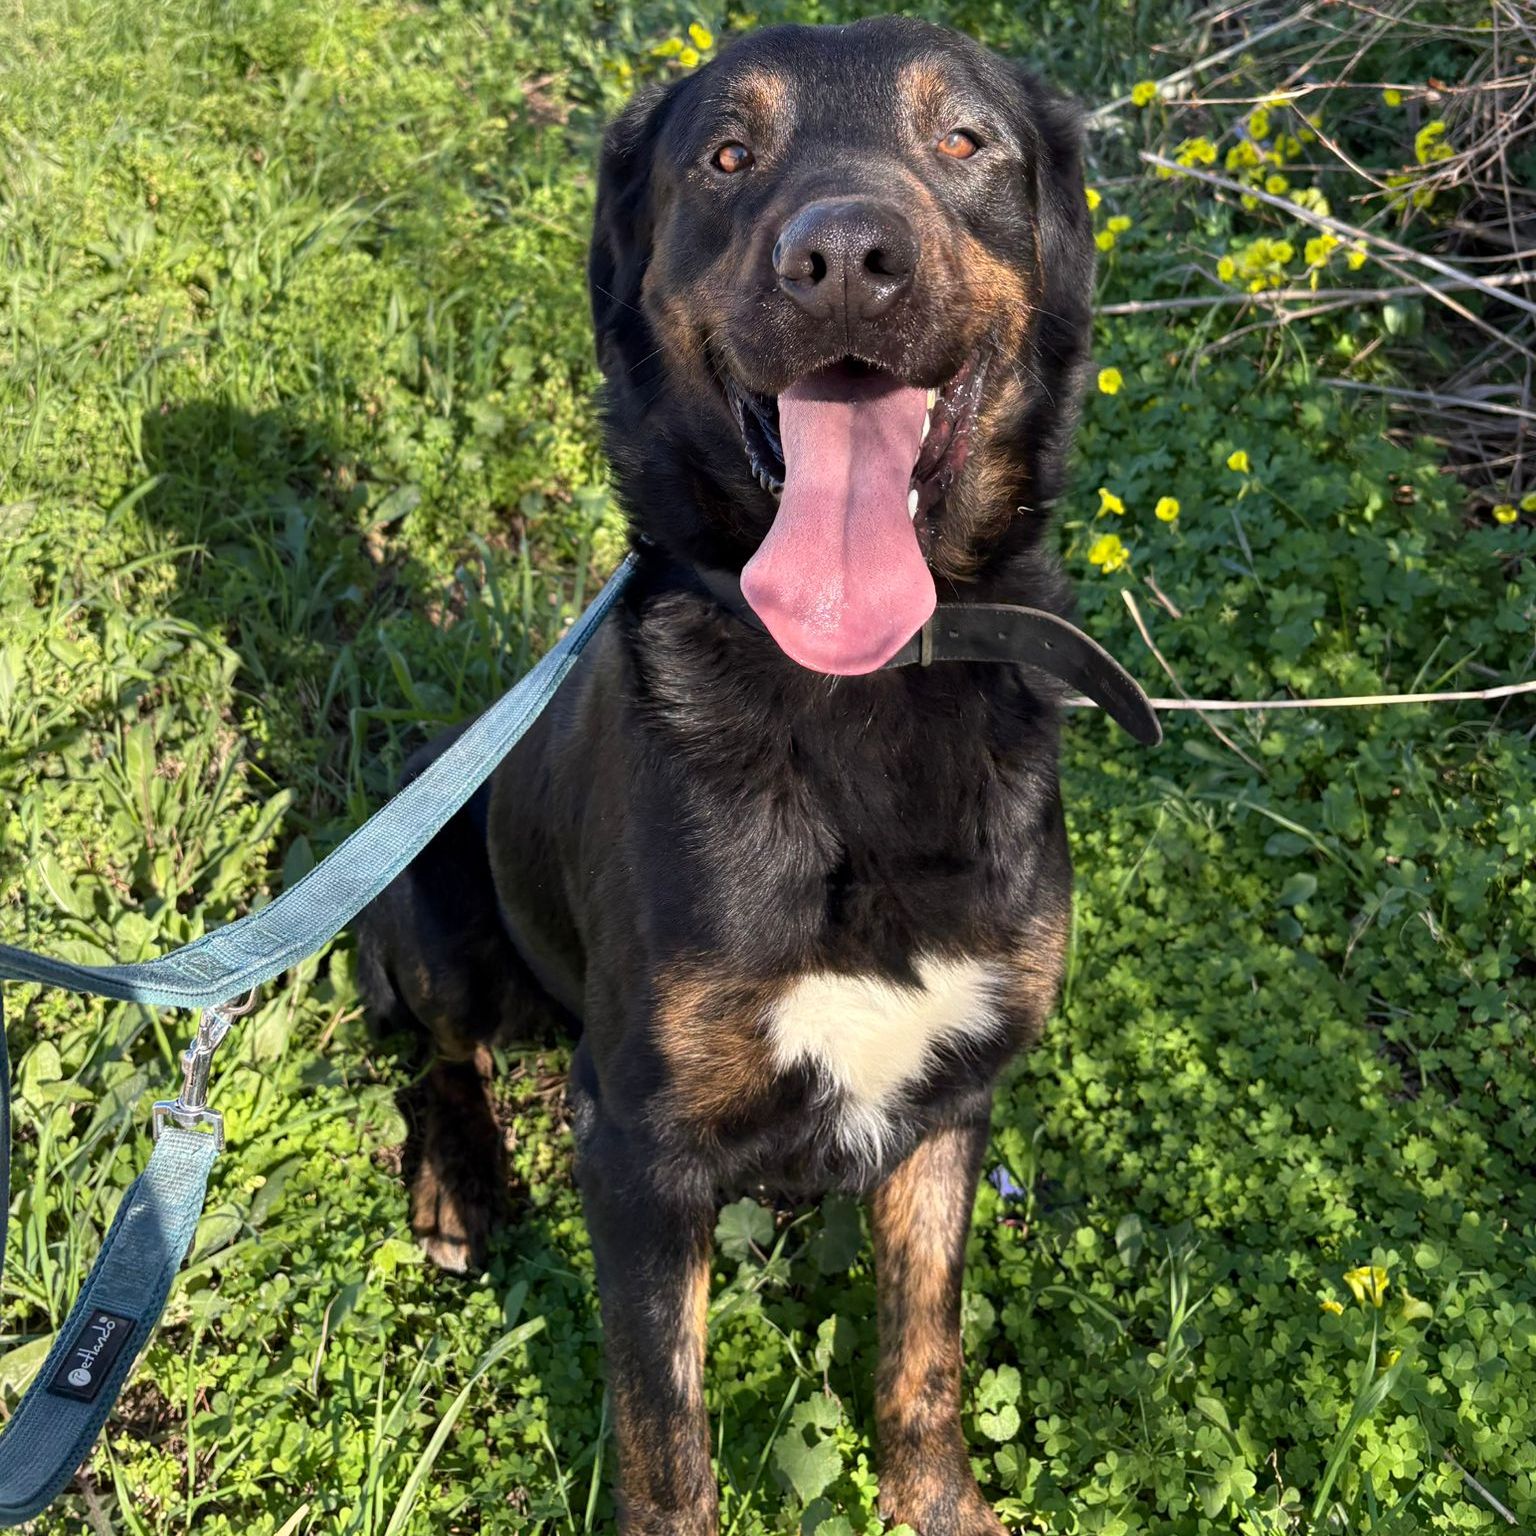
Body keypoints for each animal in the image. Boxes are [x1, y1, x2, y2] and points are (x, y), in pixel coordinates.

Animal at [358, 16, 1114, 1533]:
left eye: (965, 140)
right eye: (725, 154)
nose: (846, 259)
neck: (852, 689)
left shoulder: (954, 1097)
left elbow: (925, 1358)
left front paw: (938, 1506)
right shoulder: (638, 1150)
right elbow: (666, 1434)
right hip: (437, 905)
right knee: (442, 1051)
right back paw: (459, 1182)